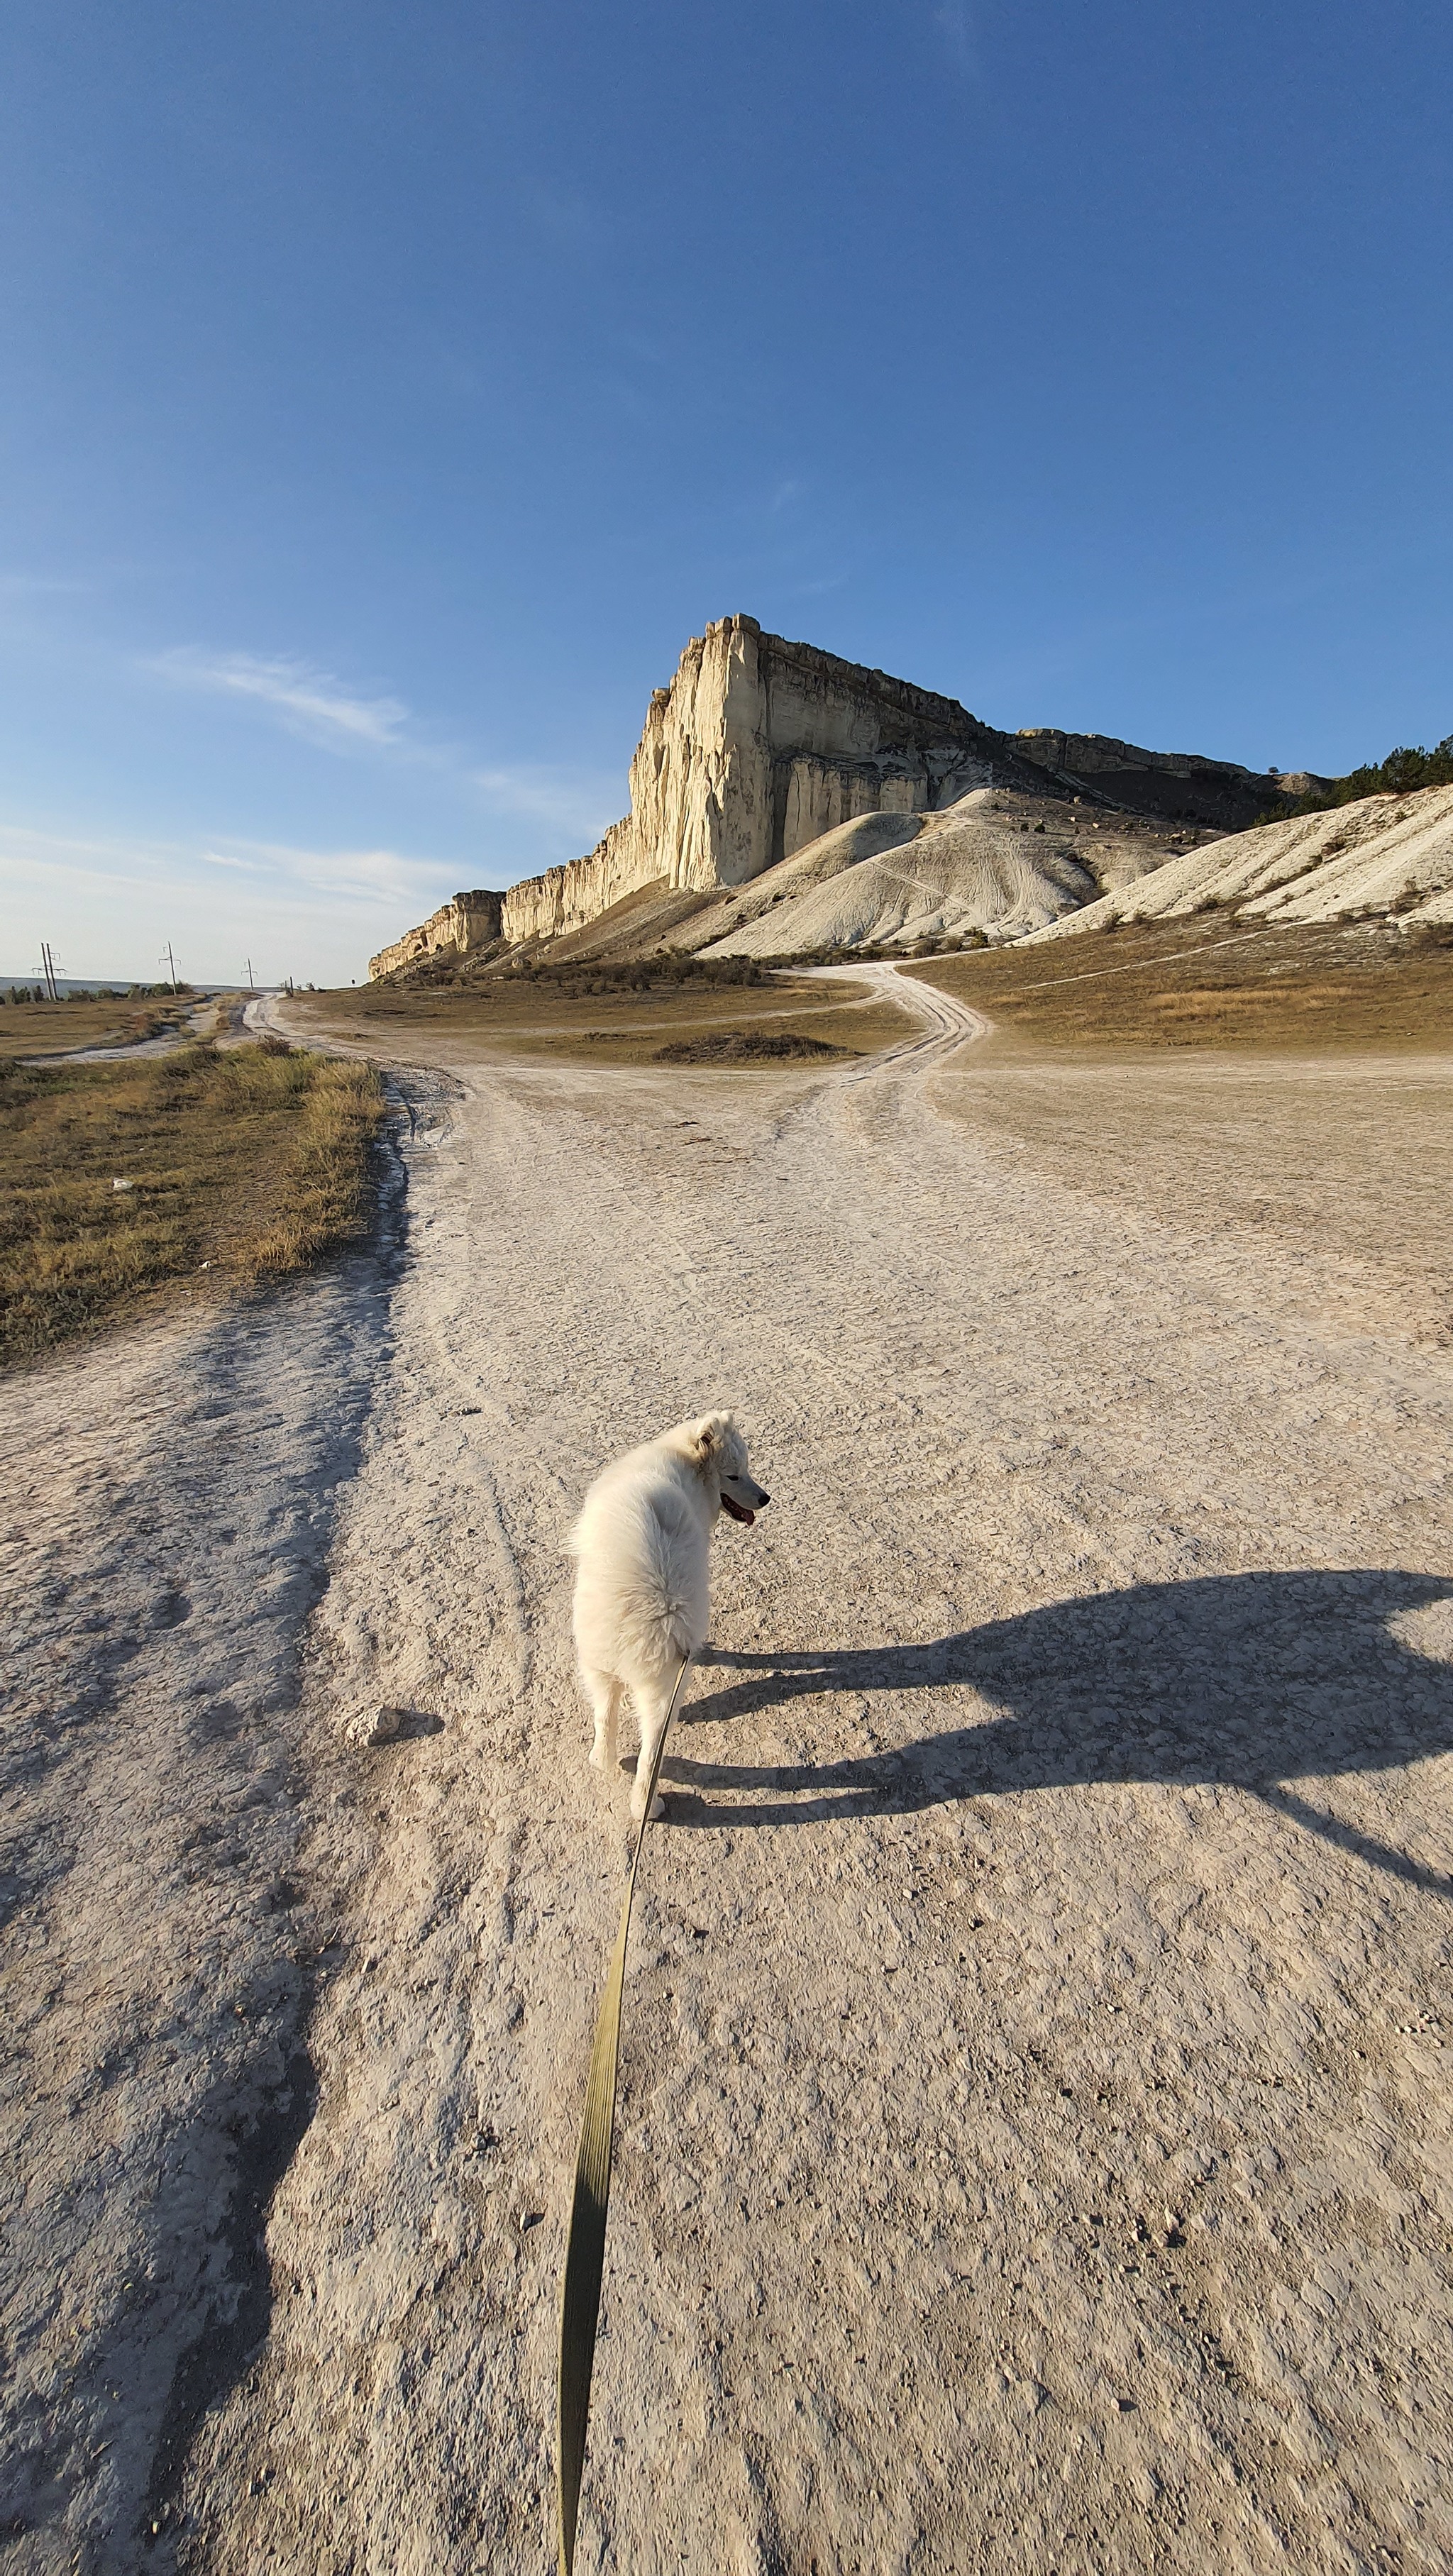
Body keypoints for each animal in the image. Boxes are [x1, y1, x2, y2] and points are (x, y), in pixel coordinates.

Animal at [569, 1422, 773, 1823]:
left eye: (746, 1468)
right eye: (734, 1475)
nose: (765, 1499)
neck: (679, 1461)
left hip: (604, 1668)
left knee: (610, 1726)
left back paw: (615, 1774)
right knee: (647, 1751)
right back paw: (646, 1805)